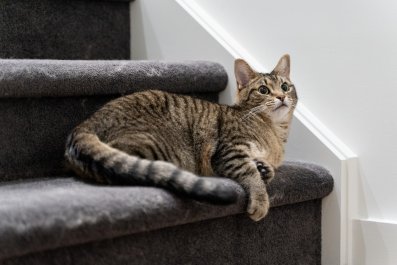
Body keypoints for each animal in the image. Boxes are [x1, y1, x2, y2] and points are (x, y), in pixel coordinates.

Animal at [63, 54, 296, 220]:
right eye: (263, 90)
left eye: (285, 86)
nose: (281, 96)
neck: (275, 133)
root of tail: (86, 123)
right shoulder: (230, 150)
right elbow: (249, 173)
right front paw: (260, 200)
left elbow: (263, 167)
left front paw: (264, 168)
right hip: (155, 146)